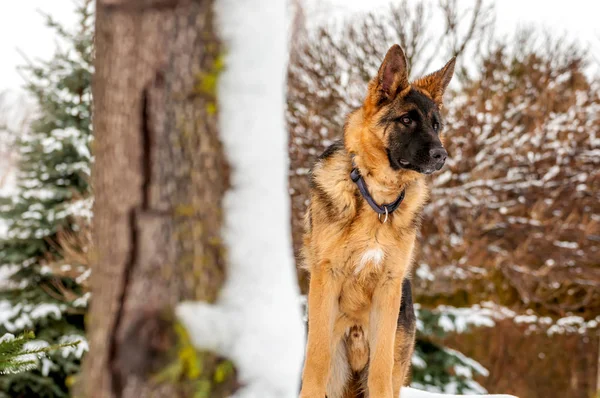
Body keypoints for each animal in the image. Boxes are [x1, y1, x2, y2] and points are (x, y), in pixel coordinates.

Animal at [300, 44, 454, 398]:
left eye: (436, 125)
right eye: (407, 120)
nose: (442, 155)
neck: (378, 201)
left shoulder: (389, 287)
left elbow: (381, 371)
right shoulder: (326, 278)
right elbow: (316, 362)